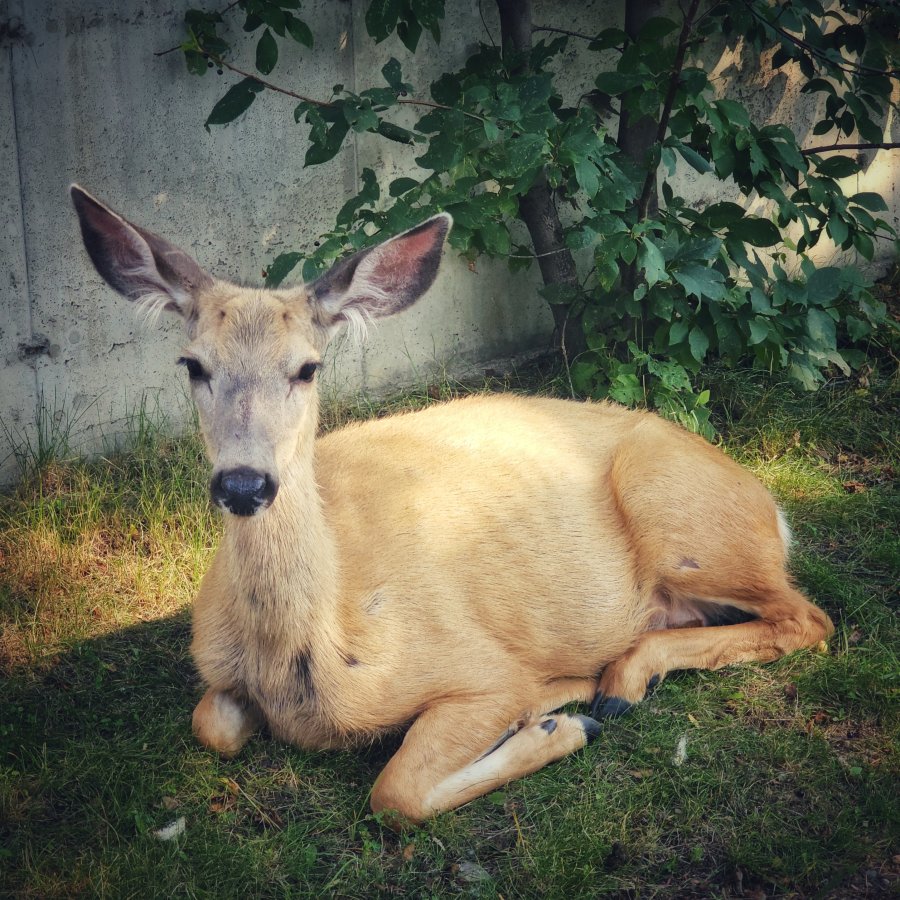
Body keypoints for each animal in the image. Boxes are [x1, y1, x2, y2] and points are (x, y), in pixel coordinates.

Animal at [70, 184, 833, 825]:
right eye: (193, 365)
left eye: (307, 367)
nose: (243, 484)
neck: (310, 665)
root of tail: (769, 506)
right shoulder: (216, 667)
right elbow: (213, 726)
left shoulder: (478, 669)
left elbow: (396, 793)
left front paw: (556, 727)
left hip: (682, 514)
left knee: (807, 617)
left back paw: (604, 687)